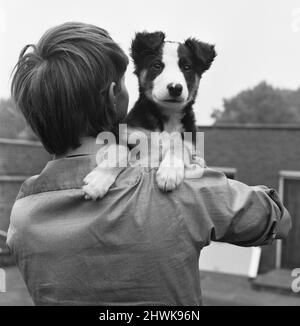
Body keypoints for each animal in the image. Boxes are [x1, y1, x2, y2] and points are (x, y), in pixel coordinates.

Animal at [83, 31, 217, 199]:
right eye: (157, 65)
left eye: (187, 67)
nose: (175, 88)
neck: (166, 117)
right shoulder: (124, 134)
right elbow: (120, 151)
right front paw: (97, 181)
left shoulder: (189, 142)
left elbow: (178, 146)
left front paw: (169, 173)